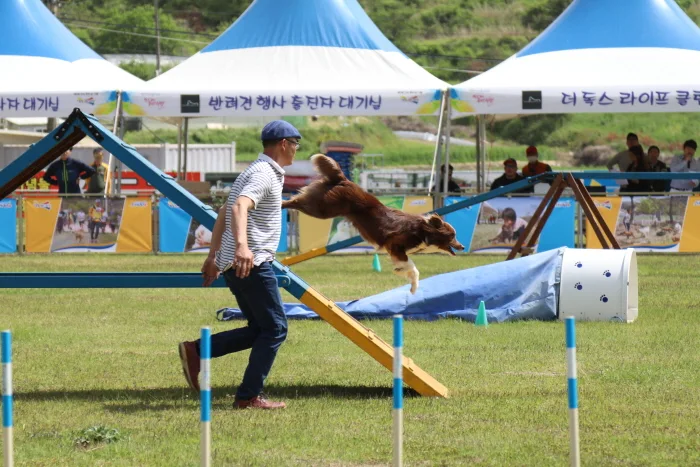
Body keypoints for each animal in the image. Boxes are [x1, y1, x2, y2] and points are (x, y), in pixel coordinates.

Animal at [278, 155, 464, 294]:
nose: (462, 246)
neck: (423, 231)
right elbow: (413, 267)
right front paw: (413, 286)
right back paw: (281, 203)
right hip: (323, 209)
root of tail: (344, 180)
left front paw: (402, 273)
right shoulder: (395, 244)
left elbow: (407, 266)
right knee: (296, 200)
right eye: (452, 236)